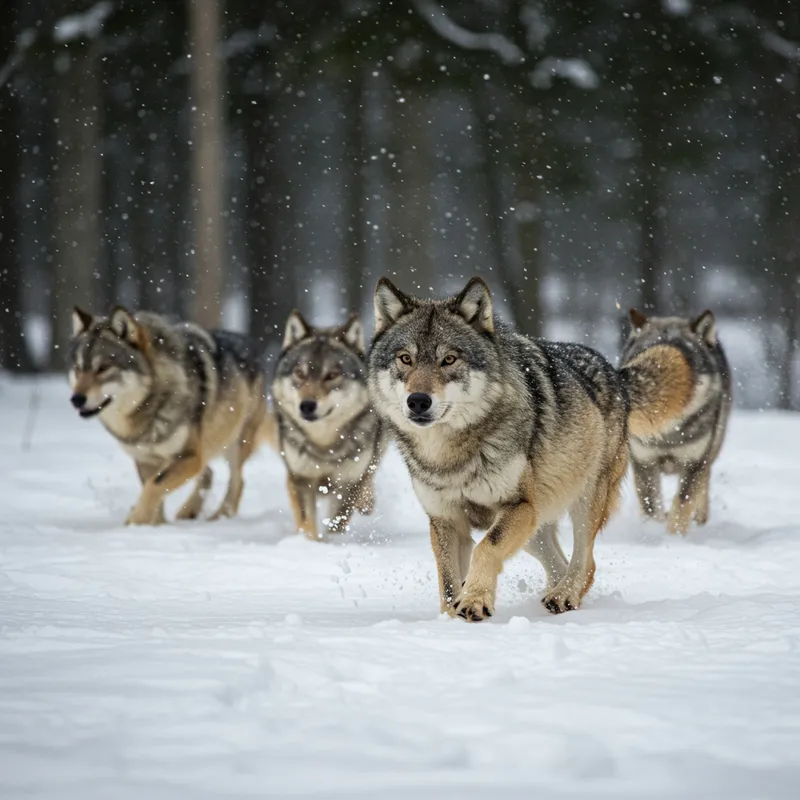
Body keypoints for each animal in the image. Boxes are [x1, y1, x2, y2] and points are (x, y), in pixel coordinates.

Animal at [69, 306, 275, 525]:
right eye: (79, 368)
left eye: (103, 368)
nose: (76, 399)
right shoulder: (146, 460)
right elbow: (153, 490)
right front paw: (155, 526)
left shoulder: (190, 456)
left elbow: (154, 486)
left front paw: (135, 522)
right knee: (209, 472)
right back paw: (189, 511)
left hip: (234, 443)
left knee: (237, 482)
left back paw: (218, 518)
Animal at [272, 310, 385, 539]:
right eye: (300, 373)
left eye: (331, 375)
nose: (307, 406)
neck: (324, 445)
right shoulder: (301, 479)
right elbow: (307, 523)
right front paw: (309, 543)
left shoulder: (348, 483)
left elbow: (336, 524)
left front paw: (331, 543)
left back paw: (367, 503)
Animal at [368, 277, 692, 620]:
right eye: (405, 359)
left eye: (449, 359)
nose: (417, 401)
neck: (450, 455)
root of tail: (616, 373)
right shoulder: (446, 519)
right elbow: (447, 580)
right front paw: (451, 614)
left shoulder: (518, 506)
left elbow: (486, 548)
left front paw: (474, 601)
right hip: (536, 525)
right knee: (562, 564)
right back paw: (553, 596)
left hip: (581, 502)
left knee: (585, 561)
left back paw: (564, 596)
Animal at [620, 308, 731, 535]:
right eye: (647, 357)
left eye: (684, 360)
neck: (667, 435)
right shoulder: (644, 462)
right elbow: (651, 506)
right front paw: (653, 530)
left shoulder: (694, 462)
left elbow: (682, 505)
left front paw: (674, 538)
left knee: (703, 489)